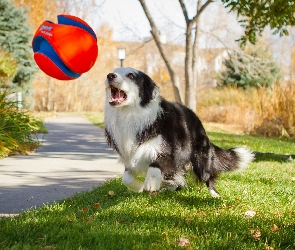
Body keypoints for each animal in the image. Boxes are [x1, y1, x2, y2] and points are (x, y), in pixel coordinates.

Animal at [104, 67, 254, 197]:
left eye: (131, 75)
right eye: (115, 71)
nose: (110, 75)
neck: (130, 113)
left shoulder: (171, 150)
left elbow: (157, 163)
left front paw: (151, 182)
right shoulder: (130, 157)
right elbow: (126, 178)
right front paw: (139, 187)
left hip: (201, 160)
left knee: (208, 176)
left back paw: (215, 195)